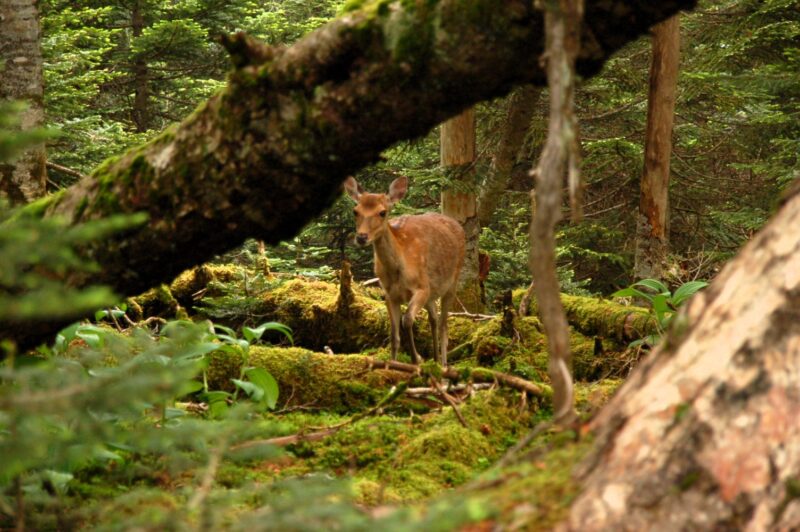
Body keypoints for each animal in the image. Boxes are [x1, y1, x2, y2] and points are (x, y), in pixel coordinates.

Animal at [344, 175, 465, 367]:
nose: (361, 237)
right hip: (432, 292)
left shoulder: (422, 287)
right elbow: (394, 335)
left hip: (452, 281)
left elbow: (407, 320)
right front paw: (393, 364)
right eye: (355, 211)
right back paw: (436, 360)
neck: (397, 272)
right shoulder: (389, 294)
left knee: (444, 326)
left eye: (382, 212)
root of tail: (458, 225)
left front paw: (416, 360)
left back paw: (444, 364)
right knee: (434, 319)